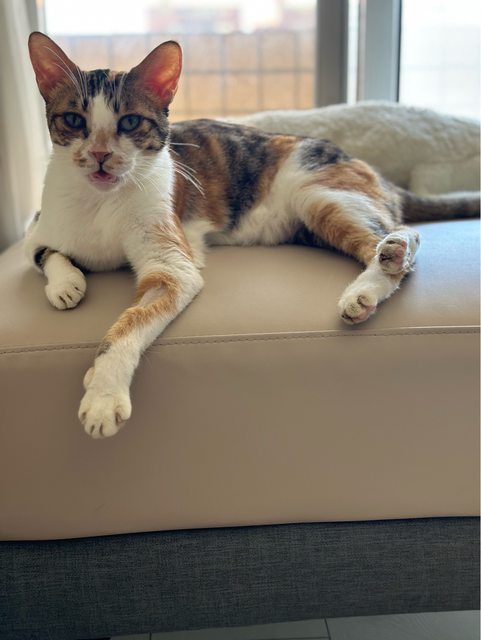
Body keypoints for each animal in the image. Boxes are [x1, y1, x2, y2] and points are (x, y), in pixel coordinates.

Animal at [26, 31, 479, 439]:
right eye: (74, 120)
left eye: (130, 122)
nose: (101, 154)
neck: (100, 203)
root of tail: (373, 169)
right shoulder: (39, 225)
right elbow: (45, 253)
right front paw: (66, 285)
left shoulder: (172, 266)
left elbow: (132, 320)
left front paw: (103, 394)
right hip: (309, 224)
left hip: (321, 195)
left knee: (402, 236)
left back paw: (377, 274)